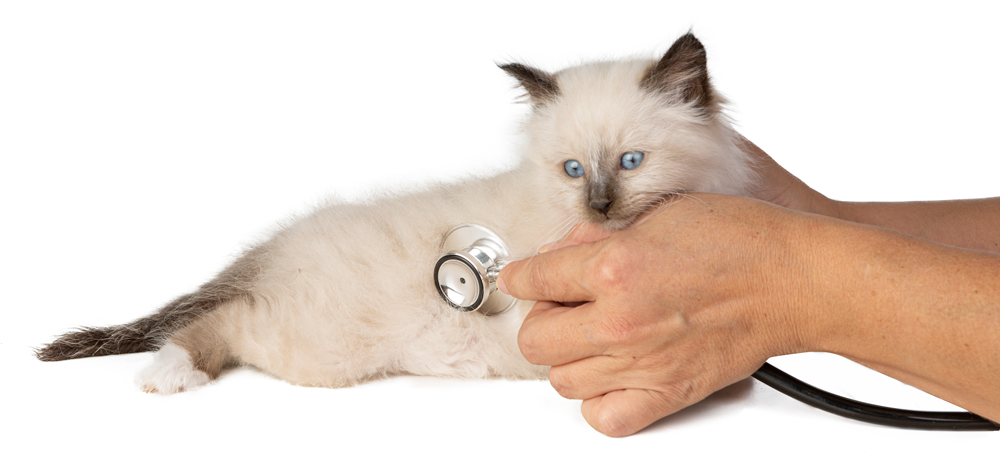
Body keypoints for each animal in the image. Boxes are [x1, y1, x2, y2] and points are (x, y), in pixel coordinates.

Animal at [37, 33, 752, 394]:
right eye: (572, 171)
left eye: (630, 162)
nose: (600, 207)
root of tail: (275, 248)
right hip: (324, 350)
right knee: (218, 321)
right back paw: (168, 375)